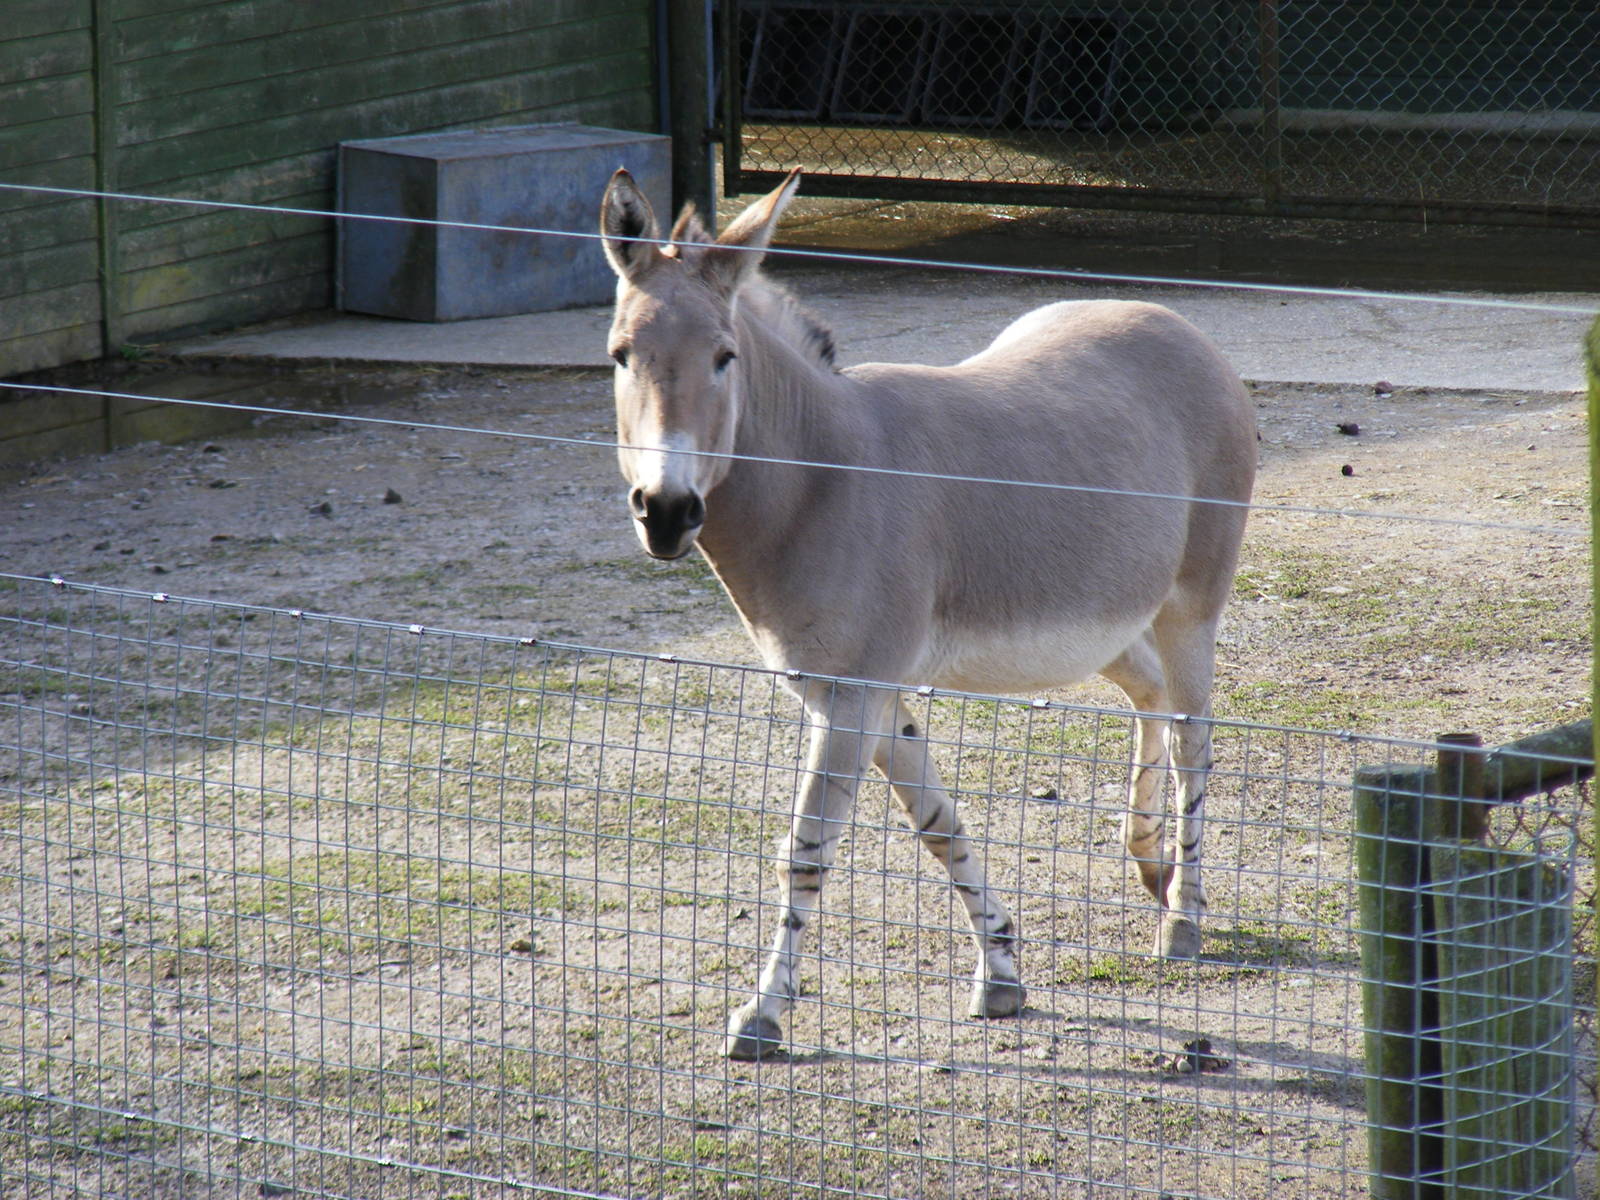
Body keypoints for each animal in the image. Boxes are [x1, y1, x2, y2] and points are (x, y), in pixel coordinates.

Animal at [599, 168, 1257, 1060]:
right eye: (621, 355)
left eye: (723, 357)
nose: (666, 512)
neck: (822, 478)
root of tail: (1180, 325)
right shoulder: (856, 695)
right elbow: (938, 823)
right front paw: (1002, 974)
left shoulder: (852, 696)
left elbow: (807, 850)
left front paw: (763, 1015)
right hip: (1111, 621)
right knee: (1150, 696)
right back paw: (1150, 863)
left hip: (1190, 607)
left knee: (1196, 741)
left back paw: (1183, 919)